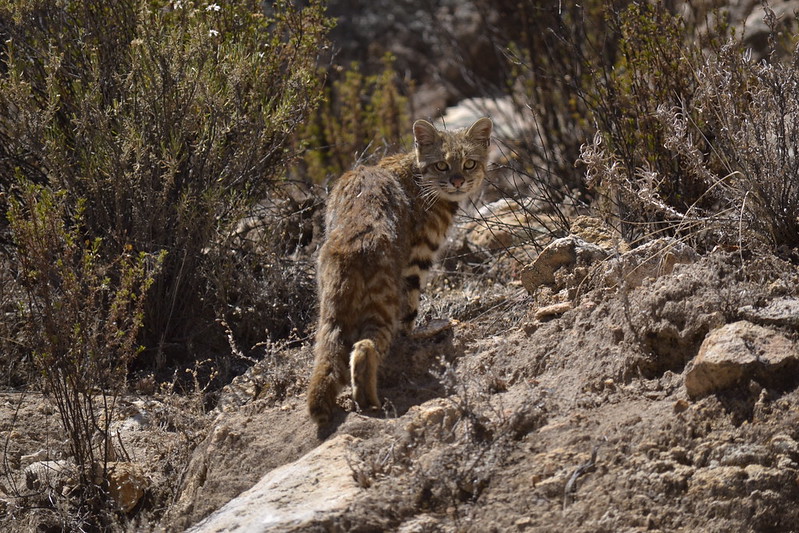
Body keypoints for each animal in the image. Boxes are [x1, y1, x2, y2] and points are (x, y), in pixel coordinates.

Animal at [308, 117, 490, 424]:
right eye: (442, 165)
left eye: (469, 163)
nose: (457, 181)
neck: (417, 174)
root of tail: (348, 246)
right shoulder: (418, 259)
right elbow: (411, 312)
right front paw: (412, 337)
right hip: (383, 302)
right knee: (365, 347)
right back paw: (370, 400)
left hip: (329, 311)